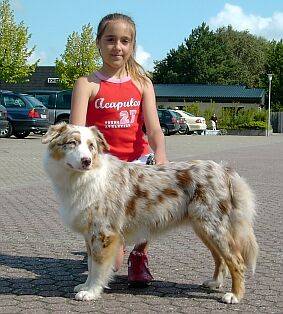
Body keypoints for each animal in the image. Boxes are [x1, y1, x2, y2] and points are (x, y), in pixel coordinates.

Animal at [41, 121, 260, 302]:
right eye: (72, 143)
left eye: (91, 146)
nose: (86, 160)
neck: (83, 178)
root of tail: (223, 170)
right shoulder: (90, 234)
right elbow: (90, 264)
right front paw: (85, 286)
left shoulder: (104, 234)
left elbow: (98, 267)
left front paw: (91, 292)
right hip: (203, 228)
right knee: (220, 258)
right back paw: (215, 283)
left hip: (212, 226)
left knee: (236, 260)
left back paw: (234, 295)